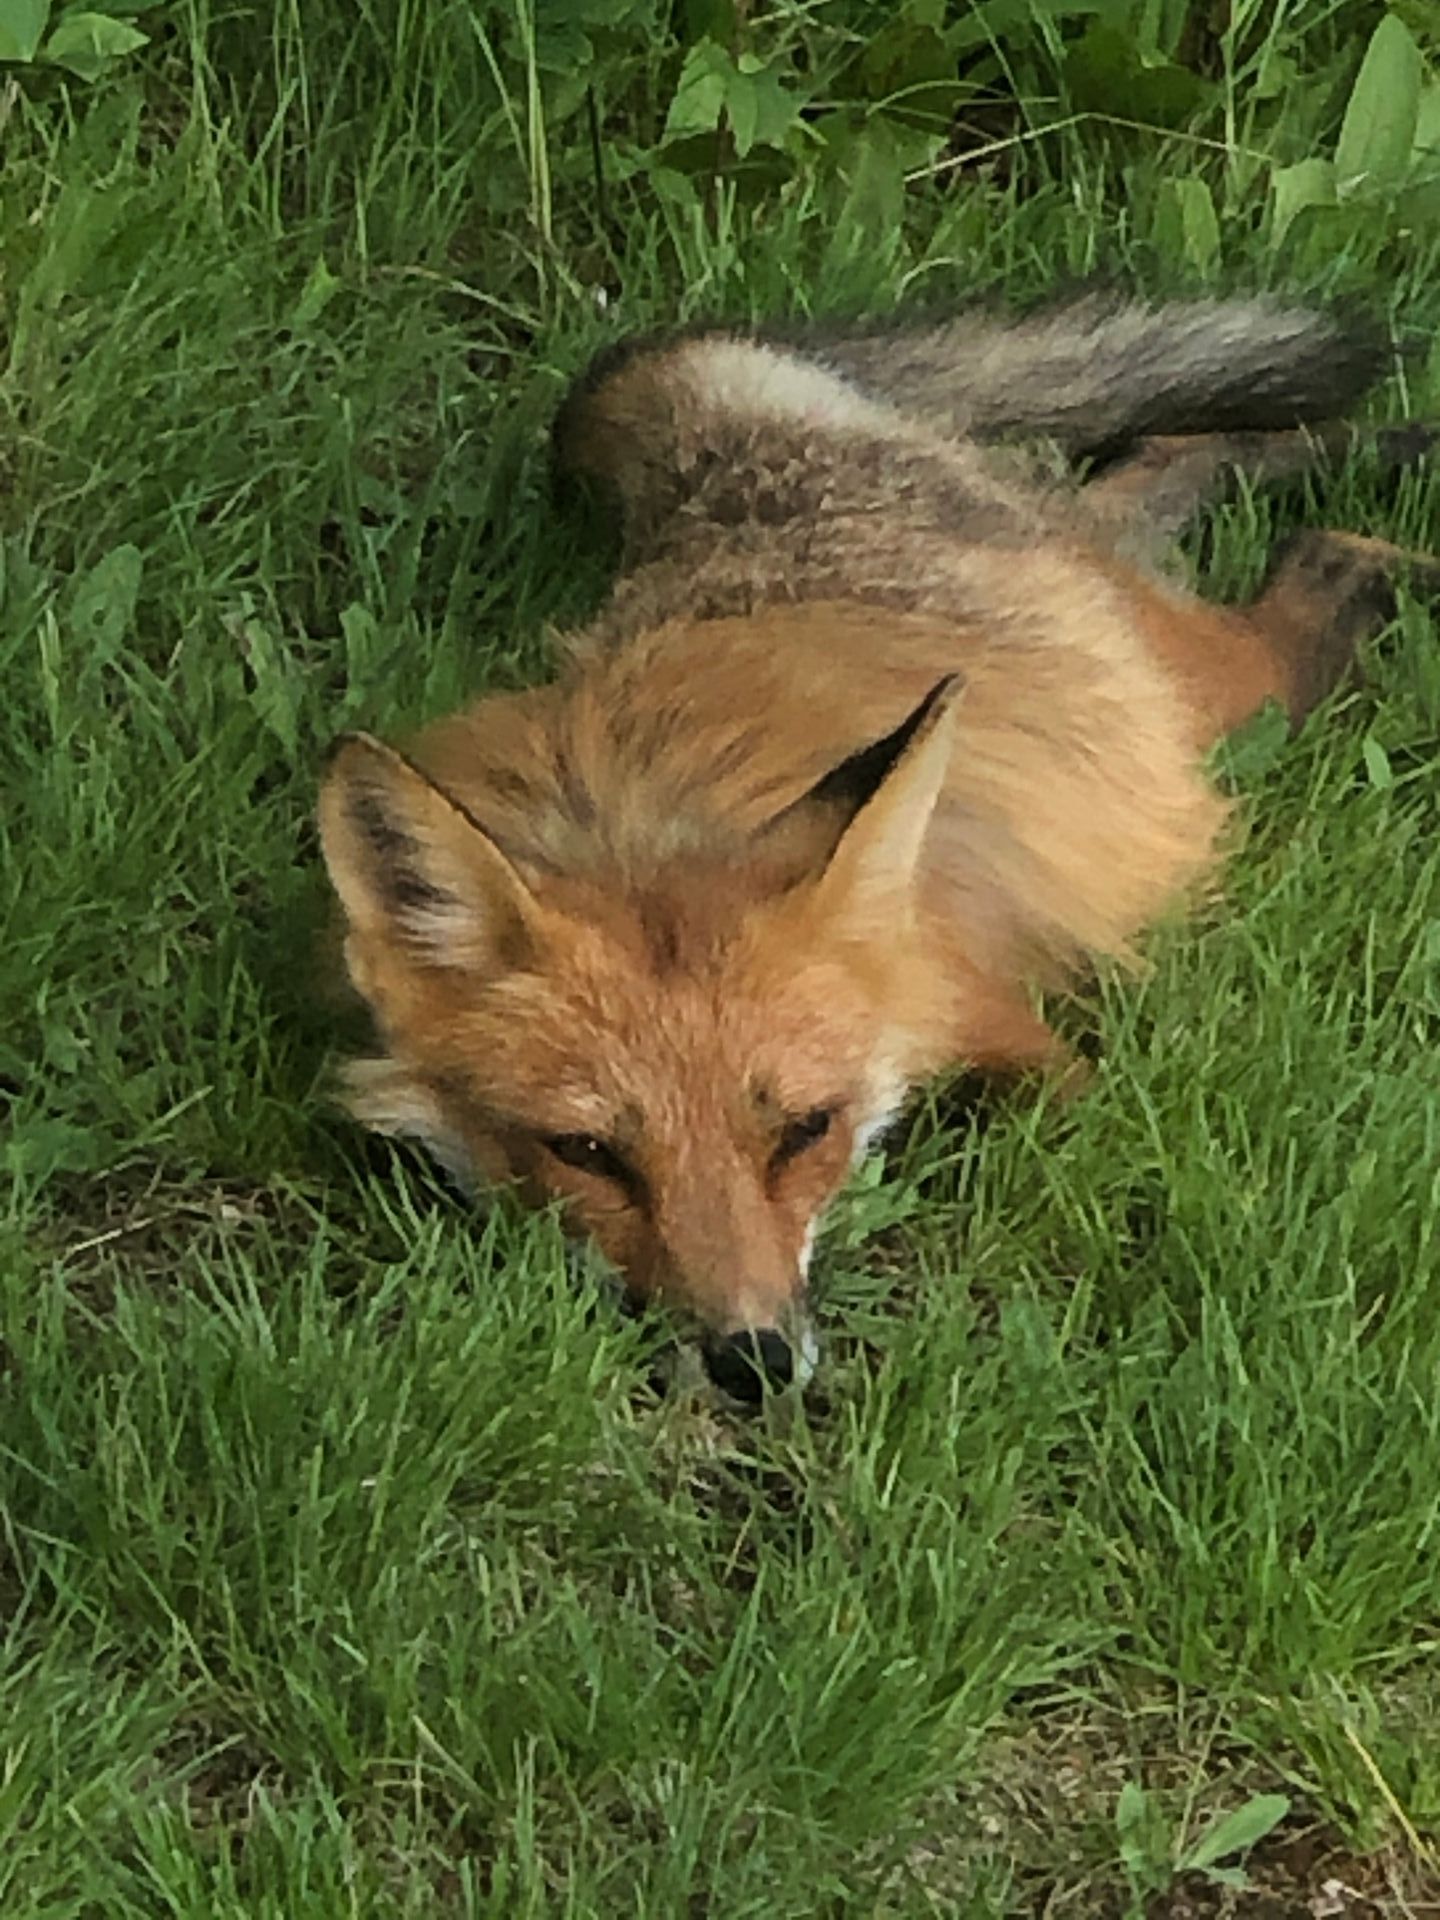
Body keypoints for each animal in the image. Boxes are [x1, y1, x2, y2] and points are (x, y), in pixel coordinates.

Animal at [318, 293, 1432, 1401]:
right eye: (586, 1152)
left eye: (802, 1132)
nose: (753, 1362)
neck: (645, 823)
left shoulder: (1000, 1023)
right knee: (1171, 464)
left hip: (1218, 695)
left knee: (1311, 552)